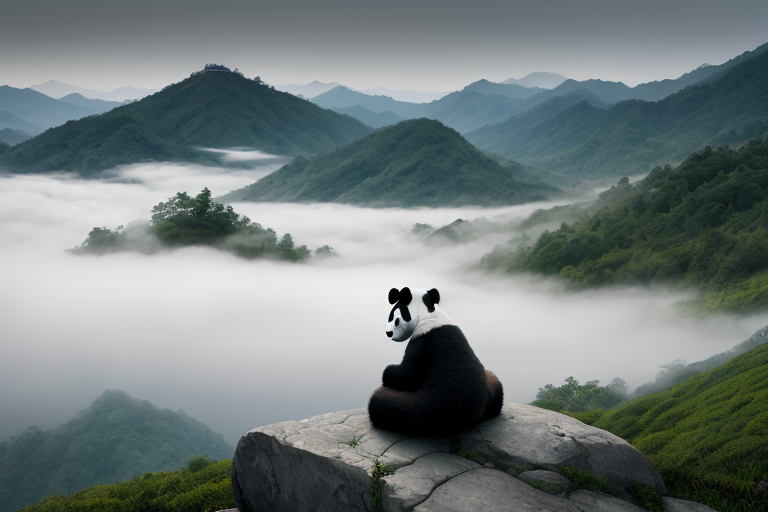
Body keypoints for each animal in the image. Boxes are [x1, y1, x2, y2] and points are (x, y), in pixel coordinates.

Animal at [368, 286, 504, 435]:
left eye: (395, 319)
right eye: (390, 317)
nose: (388, 333)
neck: (427, 313)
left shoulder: (422, 340)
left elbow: (408, 374)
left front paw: (387, 371)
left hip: (429, 407)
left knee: (381, 403)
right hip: (490, 387)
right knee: (495, 384)